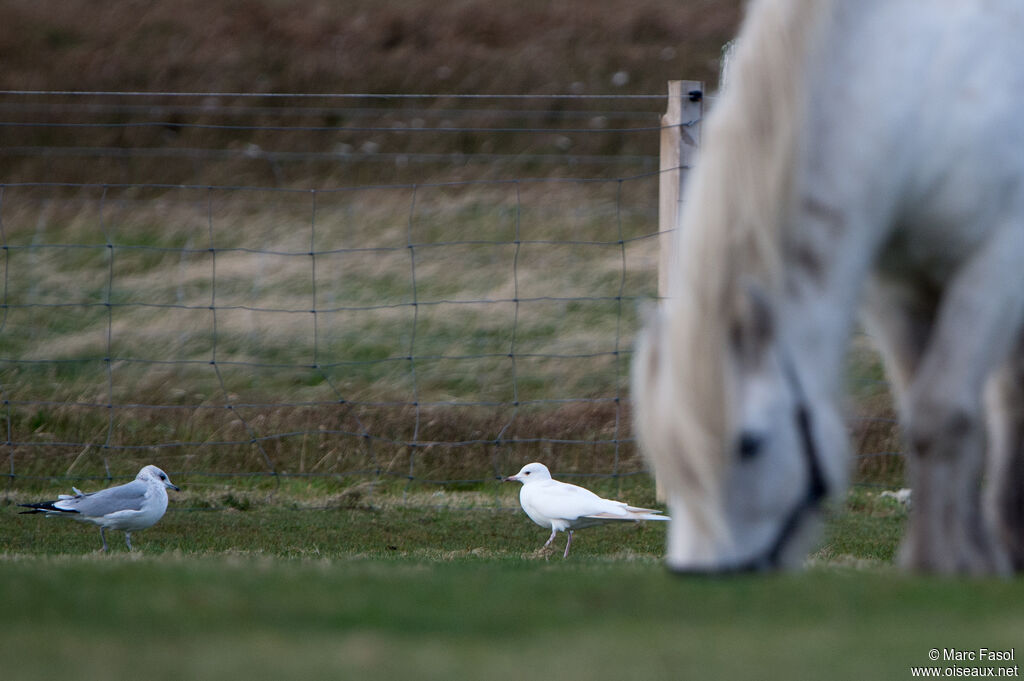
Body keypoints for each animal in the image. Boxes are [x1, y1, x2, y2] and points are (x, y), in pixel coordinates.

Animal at [630, 0, 1024, 573]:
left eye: (750, 444)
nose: (702, 575)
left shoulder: (996, 263)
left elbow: (943, 411)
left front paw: (938, 564)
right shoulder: (894, 282)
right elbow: (926, 410)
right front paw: (965, 561)